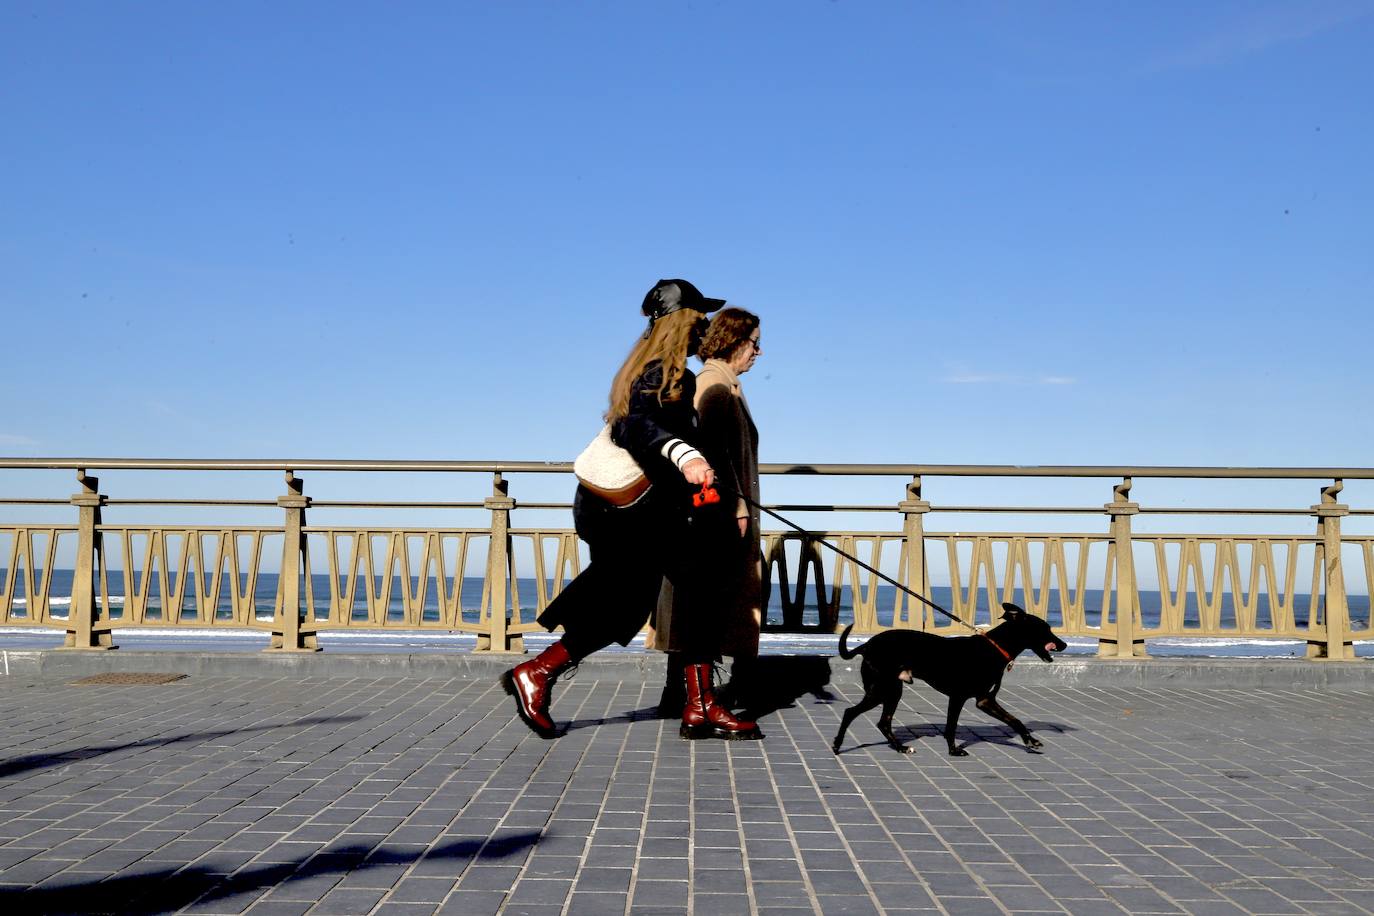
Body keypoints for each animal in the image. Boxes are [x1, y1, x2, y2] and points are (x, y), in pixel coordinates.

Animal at [829, 601, 1066, 758]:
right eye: (1045, 629)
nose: (1063, 644)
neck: (993, 649)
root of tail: (867, 645)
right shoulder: (959, 697)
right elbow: (951, 726)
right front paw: (953, 750)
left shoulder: (985, 700)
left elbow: (1014, 720)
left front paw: (1030, 740)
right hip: (882, 689)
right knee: (850, 712)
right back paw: (838, 745)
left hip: (893, 690)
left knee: (883, 722)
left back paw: (901, 747)